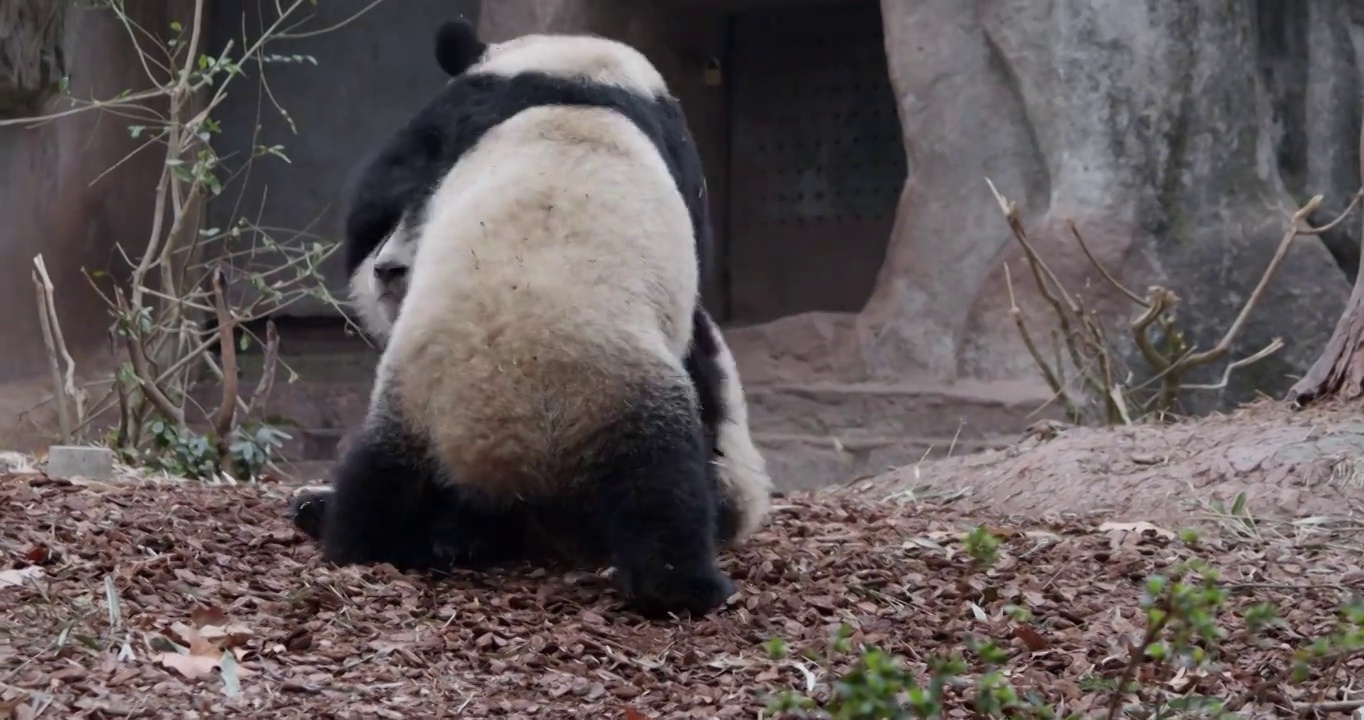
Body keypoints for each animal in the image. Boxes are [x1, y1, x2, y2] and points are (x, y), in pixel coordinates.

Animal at [306, 19, 769, 616]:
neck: (574, 79)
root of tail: (506, 437)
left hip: (418, 410)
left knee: (377, 483)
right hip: (608, 402)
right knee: (666, 494)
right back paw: (688, 587)